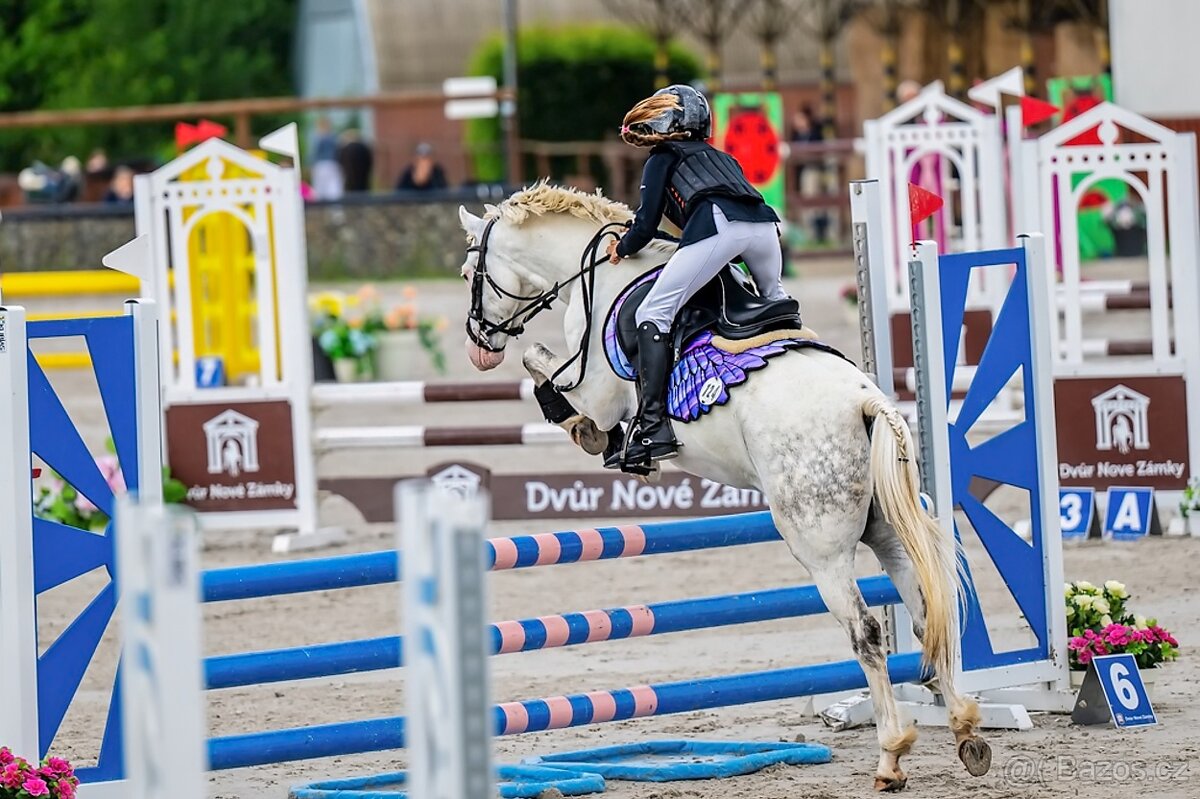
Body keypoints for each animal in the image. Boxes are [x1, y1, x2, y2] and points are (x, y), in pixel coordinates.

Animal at [457, 183, 991, 791]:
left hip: (821, 549)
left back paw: (891, 756)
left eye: (470, 270)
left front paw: (596, 436)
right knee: (928, 613)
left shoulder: (596, 391)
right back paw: (965, 729)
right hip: (888, 533)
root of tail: (866, 400)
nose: (479, 345)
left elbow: (543, 369)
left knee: (866, 632)